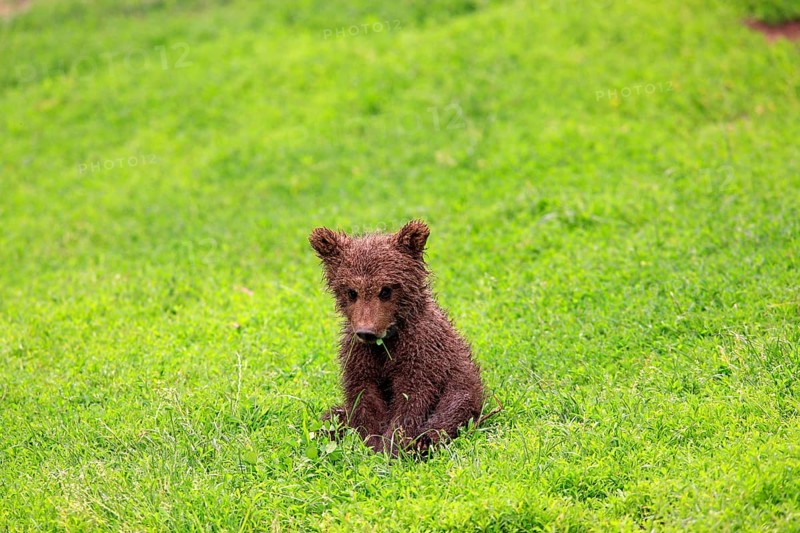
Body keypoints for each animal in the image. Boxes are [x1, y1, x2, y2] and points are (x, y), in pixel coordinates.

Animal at [309, 220, 483, 456]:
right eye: (352, 292)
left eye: (386, 290)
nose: (366, 332)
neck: (386, 341)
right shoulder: (360, 358)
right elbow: (364, 400)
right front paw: (369, 444)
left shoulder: (421, 353)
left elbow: (411, 401)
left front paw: (391, 447)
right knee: (333, 415)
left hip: (462, 387)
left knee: (454, 408)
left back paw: (424, 442)